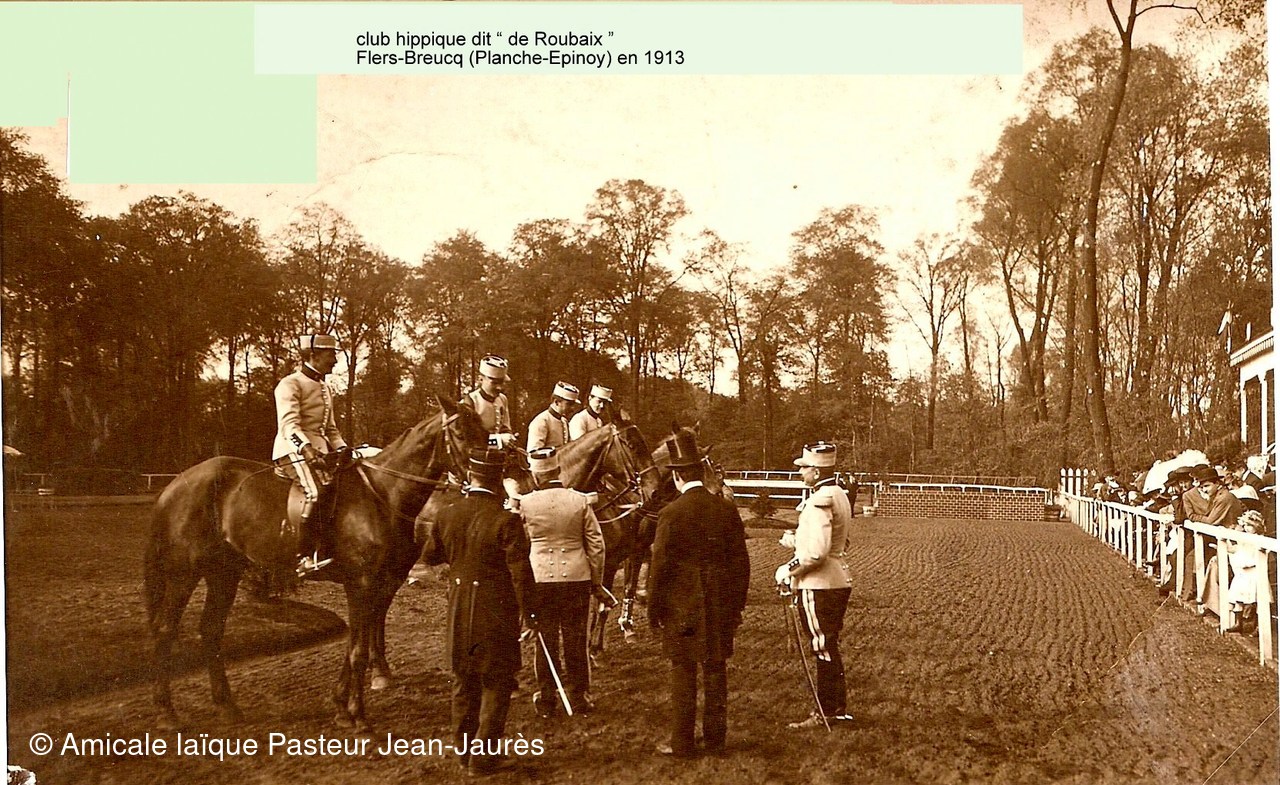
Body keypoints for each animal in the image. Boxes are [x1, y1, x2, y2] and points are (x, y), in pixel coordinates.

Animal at [143, 397, 488, 732]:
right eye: (460, 434)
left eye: (485, 431)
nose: (483, 479)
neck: (382, 494)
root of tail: (176, 484)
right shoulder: (362, 584)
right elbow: (358, 650)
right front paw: (358, 716)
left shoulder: (377, 584)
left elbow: (355, 645)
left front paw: (342, 708)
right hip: (184, 573)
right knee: (165, 630)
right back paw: (166, 714)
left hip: (224, 572)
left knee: (211, 630)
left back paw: (227, 706)